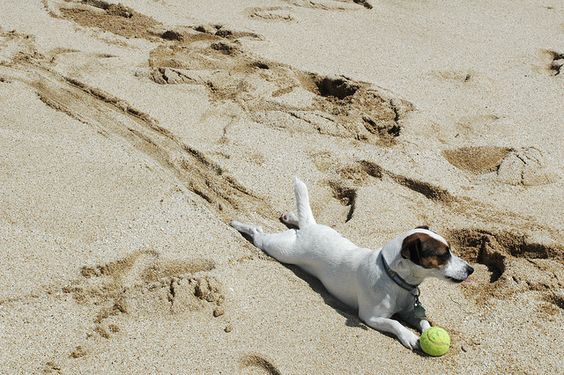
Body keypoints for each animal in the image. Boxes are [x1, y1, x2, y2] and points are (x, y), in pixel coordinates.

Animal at [229, 178, 472, 352]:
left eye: (450, 249)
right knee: (259, 233)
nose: (471, 269)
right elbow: (395, 324)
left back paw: (291, 216)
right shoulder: (371, 317)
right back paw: (239, 225)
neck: (392, 276)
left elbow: (425, 322)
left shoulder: (411, 312)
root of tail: (309, 229)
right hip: (281, 250)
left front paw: (423, 330)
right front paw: (410, 336)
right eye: (443, 255)